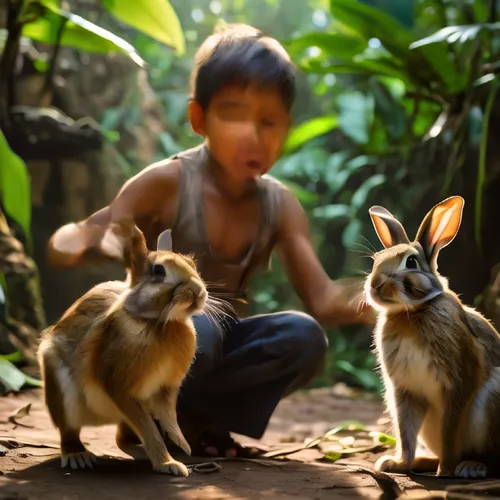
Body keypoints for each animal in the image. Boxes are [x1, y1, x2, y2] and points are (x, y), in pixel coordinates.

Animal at [37, 222, 207, 476]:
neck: (157, 322)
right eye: (159, 271)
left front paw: (182, 445)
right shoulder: (121, 387)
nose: (198, 290)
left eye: (192, 263)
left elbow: (169, 417)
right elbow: (149, 430)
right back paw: (78, 457)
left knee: (121, 439)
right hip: (61, 390)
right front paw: (169, 465)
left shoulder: (164, 390)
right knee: (69, 431)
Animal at [366, 196, 500, 480]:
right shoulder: (405, 391)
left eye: (411, 263)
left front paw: (446, 470)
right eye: (375, 260)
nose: (375, 284)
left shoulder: (459, 382)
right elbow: (405, 432)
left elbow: (451, 429)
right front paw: (397, 464)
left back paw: (470, 467)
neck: (412, 311)